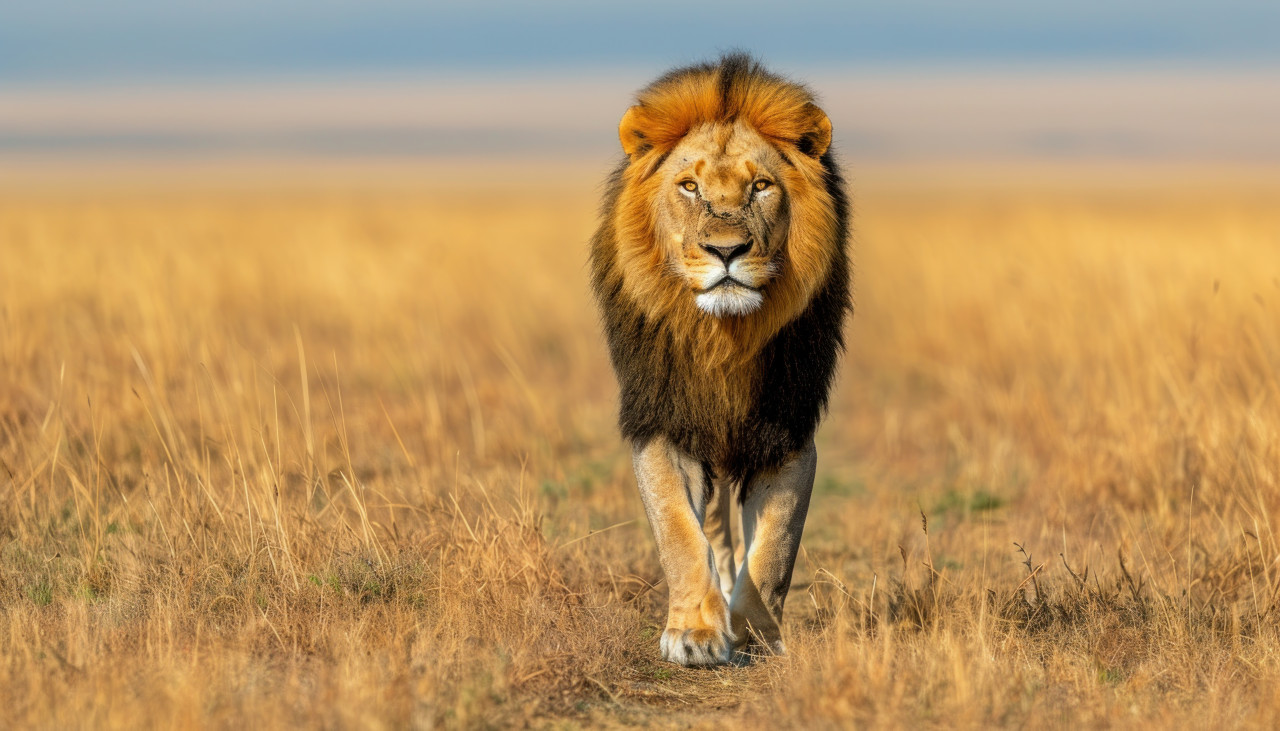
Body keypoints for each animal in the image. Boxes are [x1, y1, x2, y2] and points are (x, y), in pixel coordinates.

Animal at [590, 53, 851, 666]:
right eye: (689, 186)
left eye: (761, 186)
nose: (727, 251)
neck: (723, 337)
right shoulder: (663, 421)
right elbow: (680, 534)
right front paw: (695, 633)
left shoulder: (786, 431)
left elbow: (775, 549)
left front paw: (757, 634)